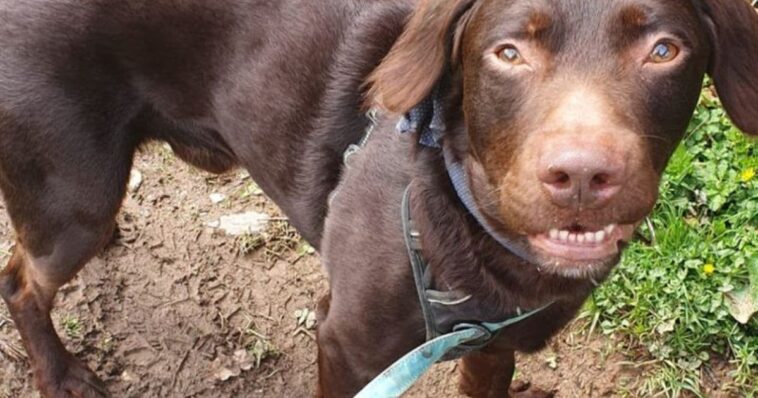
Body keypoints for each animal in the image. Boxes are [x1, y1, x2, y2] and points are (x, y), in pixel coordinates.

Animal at [0, 0, 756, 396]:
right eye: (508, 52)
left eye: (664, 50)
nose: (581, 178)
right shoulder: (347, 345)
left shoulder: (490, 347)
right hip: (74, 196)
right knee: (20, 281)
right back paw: (62, 374)